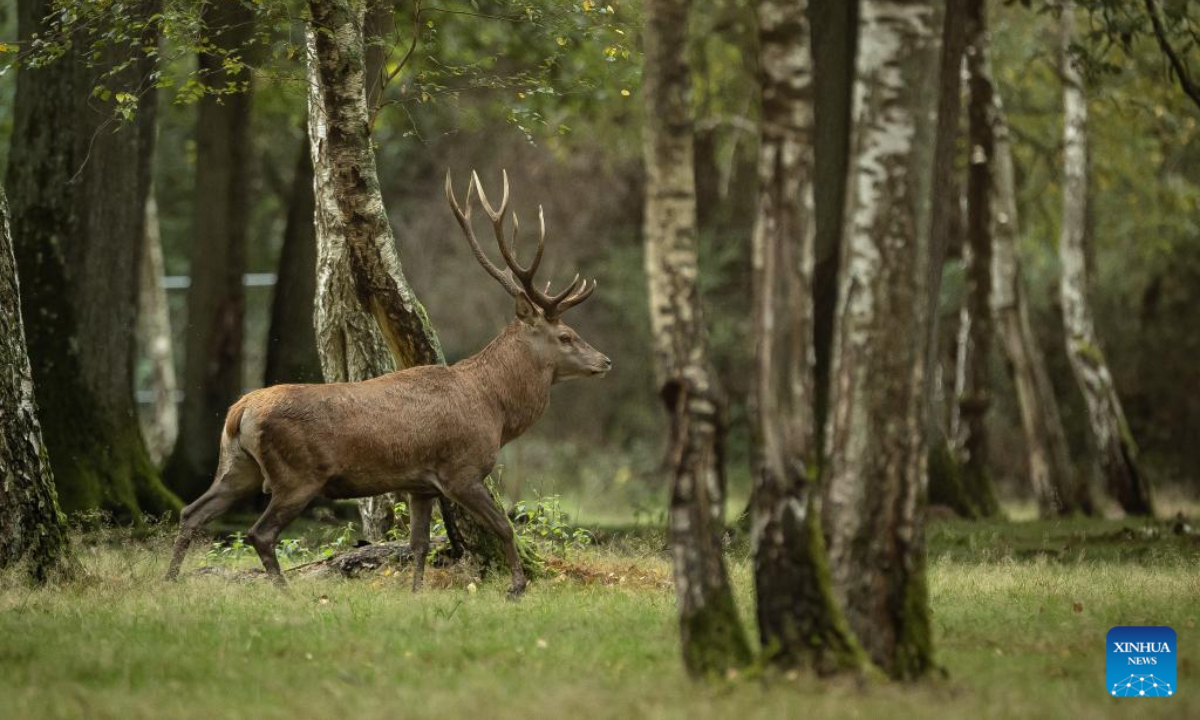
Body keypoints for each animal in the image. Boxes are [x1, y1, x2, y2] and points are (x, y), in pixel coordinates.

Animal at [164, 170, 611, 598]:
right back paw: (285, 592)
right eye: (566, 336)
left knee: (192, 511)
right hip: (296, 475)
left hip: (238, 465)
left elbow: (419, 544)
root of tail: (240, 411)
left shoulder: (420, 484)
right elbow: (503, 525)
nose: (605, 361)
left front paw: (415, 593)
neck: (496, 411)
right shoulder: (461, 470)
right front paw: (517, 587)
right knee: (259, 533)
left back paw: (169, 580)